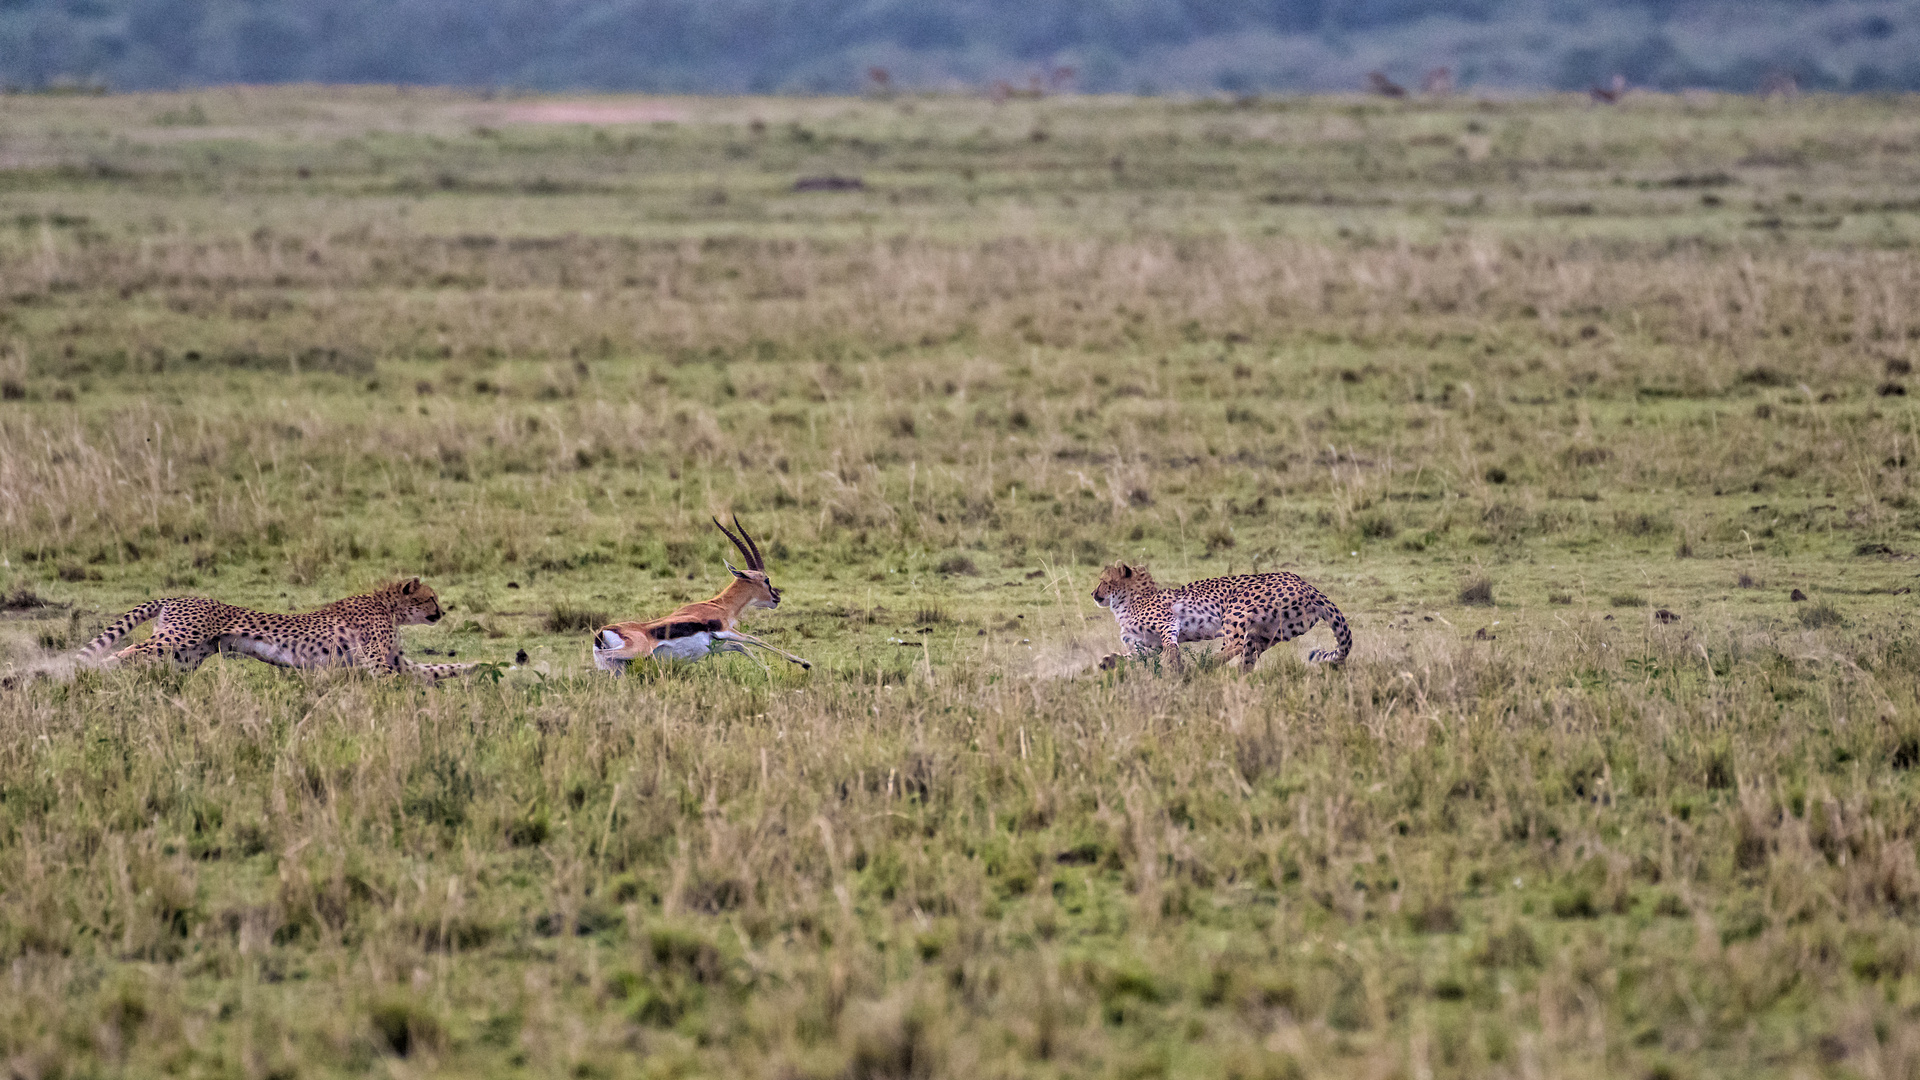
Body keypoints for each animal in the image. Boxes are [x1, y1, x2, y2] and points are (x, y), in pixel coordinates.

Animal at [78, 576, 476, 676]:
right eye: (430, 598)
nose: (442, 612)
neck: (387, 605)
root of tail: (178, 596)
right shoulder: (376, 660)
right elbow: (394, 683)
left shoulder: (397, 661)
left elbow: (436, 669)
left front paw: (477, 666)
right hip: (179, 637)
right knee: (131, 649)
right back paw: (91, 672)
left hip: (186, 656)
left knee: (144, 657)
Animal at [587, 515, 806, 672]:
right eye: (766, 580)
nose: (776, 597)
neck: (719, 605)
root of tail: (603, 631)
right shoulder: (725, 631)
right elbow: (755, 640)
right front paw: (804, 662)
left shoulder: (718, 643)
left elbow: (743, 647)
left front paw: (768, 670)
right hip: (635, 651)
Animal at [1098, 557, 1351, 668]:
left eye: (1102, 580)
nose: (1093, 593)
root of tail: (1308, 585)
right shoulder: (1146, 644)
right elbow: (1133, 655)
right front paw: (1109, 661)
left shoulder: (1168, 621)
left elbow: (1170, 644)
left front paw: (1174, 663)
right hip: (1267, 633)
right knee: (1247, 658)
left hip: (1236, 608)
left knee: (1234, 645)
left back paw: (1204, 664)